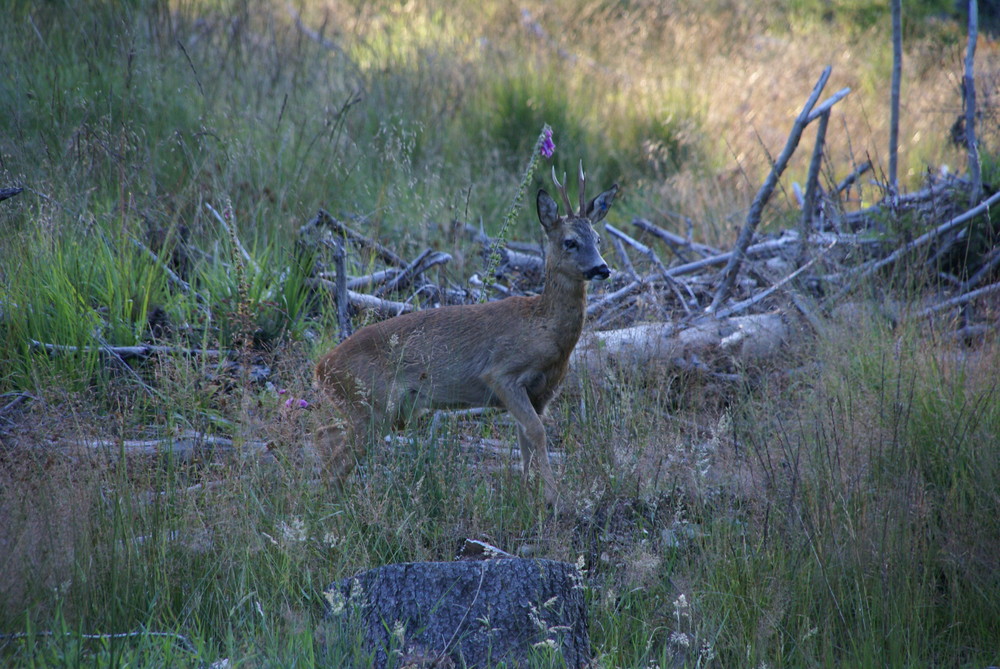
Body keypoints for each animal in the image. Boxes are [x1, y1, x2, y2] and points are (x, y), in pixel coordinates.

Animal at [316, 164, 616, 498]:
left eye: (598, 239)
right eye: (570, 242)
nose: (602, 268)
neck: (545, 330)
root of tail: (321, 368)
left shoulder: (543, 392)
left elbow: (526, 440)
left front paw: (529, 494)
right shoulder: (501, 373)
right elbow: (537, 432)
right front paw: (553, 497)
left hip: (389, 412)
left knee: (326, 436)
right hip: (374, 406)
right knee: (334, 456)